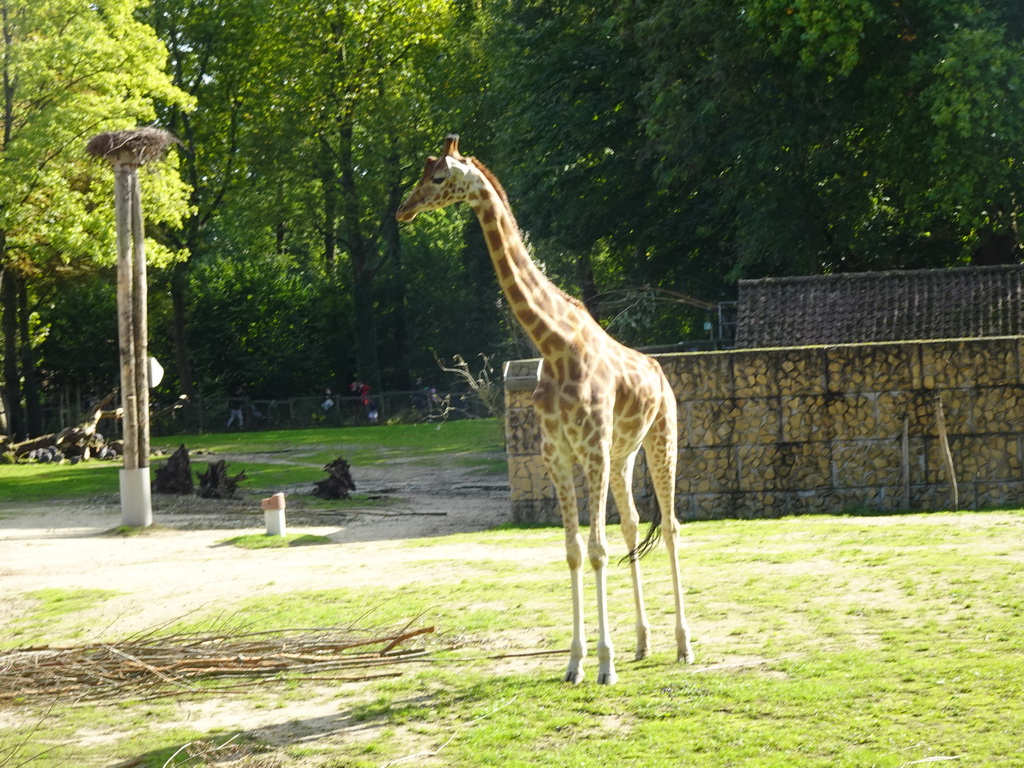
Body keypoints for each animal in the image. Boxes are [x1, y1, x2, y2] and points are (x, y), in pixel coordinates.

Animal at [395, 134, 692, 684]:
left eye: (438, 178)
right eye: (420, 175)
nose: (403, 209)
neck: (553, 344)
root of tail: (661, 373)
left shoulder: (591, 450)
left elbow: (595, 550)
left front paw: (604, 664)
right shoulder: (558, 453)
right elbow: (574, 551)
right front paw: (575, 662)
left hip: (662, 437)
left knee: (671, 526)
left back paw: (684, 645)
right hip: (624, 455)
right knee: (633, 524)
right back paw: (644, 642)